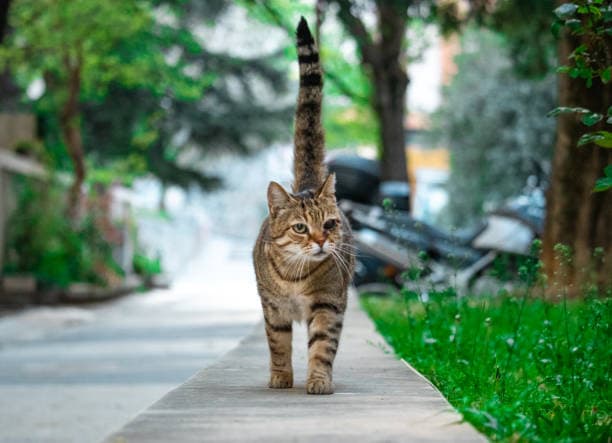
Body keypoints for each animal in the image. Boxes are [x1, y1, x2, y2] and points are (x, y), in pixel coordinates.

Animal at [252, 16, 356, 396]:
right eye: (300, 227)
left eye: (329, 224)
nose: (321, 241)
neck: (295, 276)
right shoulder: (273, 308)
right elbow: (278, 345)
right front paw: (281, 377)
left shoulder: (329, 305)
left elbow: (323, 346)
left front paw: (319, 380)